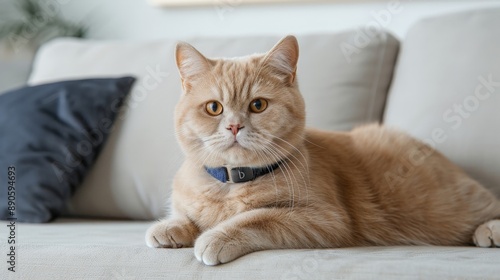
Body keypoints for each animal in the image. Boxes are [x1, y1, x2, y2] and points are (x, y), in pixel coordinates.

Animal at [145, 34, 500, 264]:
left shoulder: (324, 219)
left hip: (445, 205)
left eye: (258, 105)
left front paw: (214, 237)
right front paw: (170, 228)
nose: (234, 126)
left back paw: (489, 231)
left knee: (488, 206)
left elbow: (257, 218)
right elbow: (186, 216)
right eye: (214, 108)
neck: (231, 185)